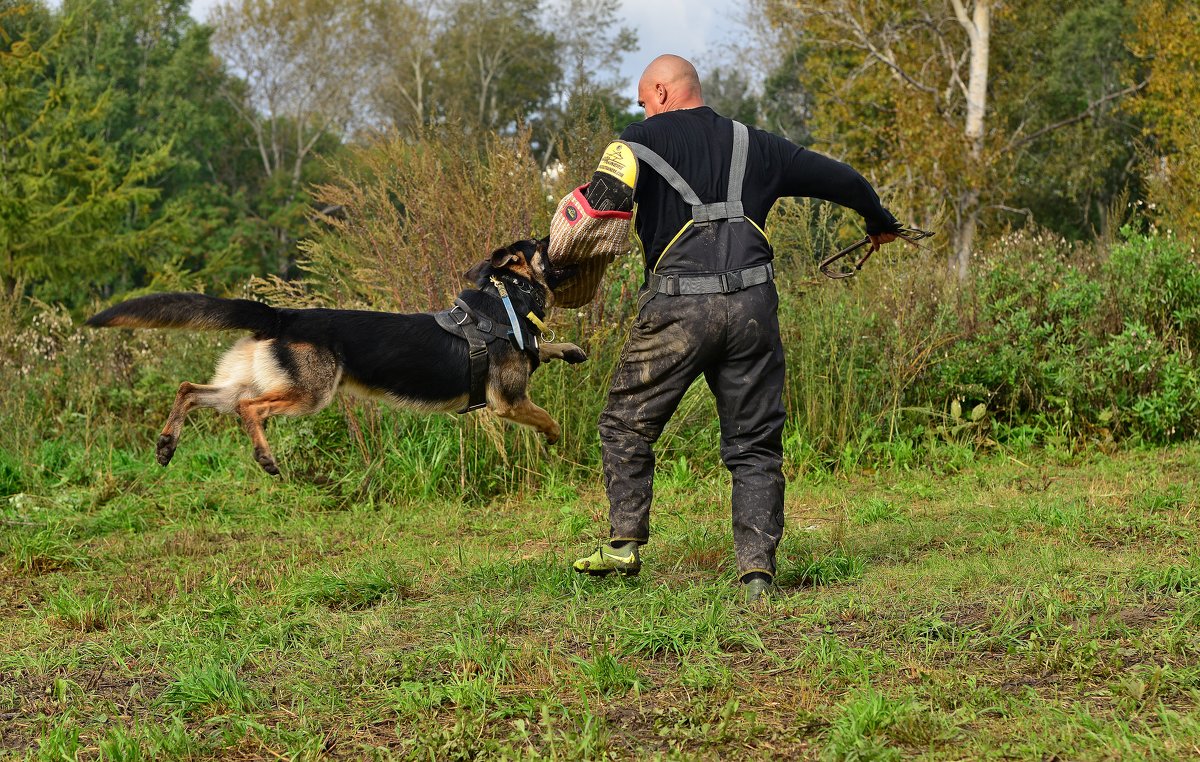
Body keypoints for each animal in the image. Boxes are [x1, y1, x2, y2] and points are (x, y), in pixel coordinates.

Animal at [85, 238, 585, 477]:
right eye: (542, 243)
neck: (507, 299)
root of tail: (282, 315)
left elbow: (546, 346)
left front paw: (570, 349)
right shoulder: (508, 402)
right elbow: (546, 417)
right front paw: (554, 438)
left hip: (247, 382)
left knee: (189, 389)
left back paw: (167, 444)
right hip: (309, 395)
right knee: (250, 409)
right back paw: (265, 457)